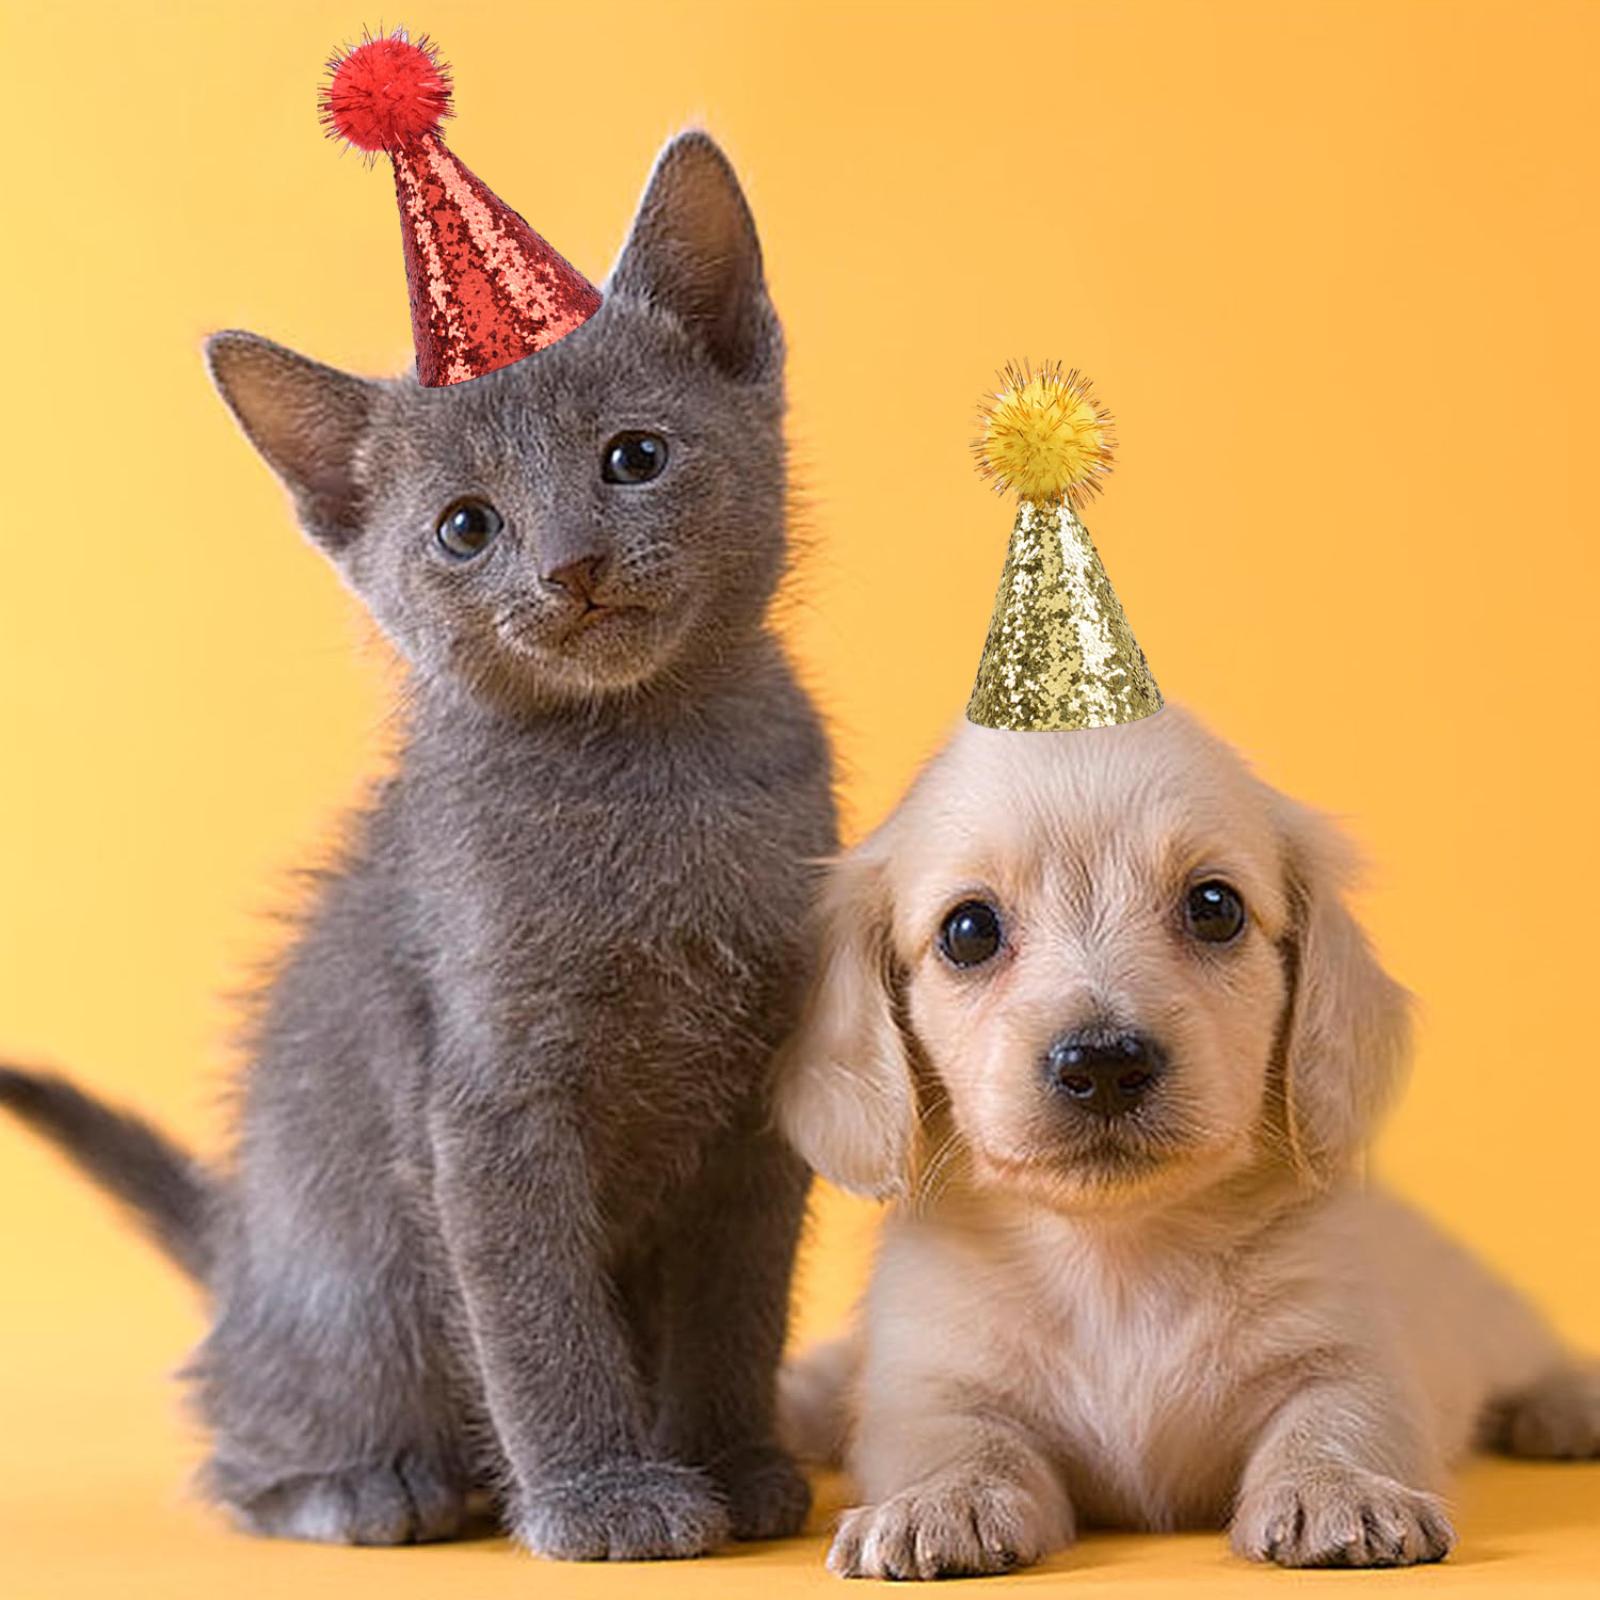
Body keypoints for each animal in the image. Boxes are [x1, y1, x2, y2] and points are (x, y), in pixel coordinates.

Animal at [0, 131, 837, 1561]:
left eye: (633, 457)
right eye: (465, 527)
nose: (571, 567)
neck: (644, 771)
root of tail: (238, 1254)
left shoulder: (760, 1091)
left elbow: (738, 1295)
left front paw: (736, 1461)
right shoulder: (485, 1096)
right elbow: (535, 1316)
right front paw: (601, 1496)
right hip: (353, 1294)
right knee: (237, 1437)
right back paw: (370, 1485)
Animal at [776, 706, 1598, 1578]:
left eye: (1214, 907)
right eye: (969, 930)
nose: (1103, 1063)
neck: (1118, 1259)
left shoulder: (1353, 1352)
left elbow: (1336, 1416)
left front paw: (1339, 1491)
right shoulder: (926, 1384)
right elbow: (954, 1440)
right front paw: (941, 1500)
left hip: (1488, 1318)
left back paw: (1569, 1403)